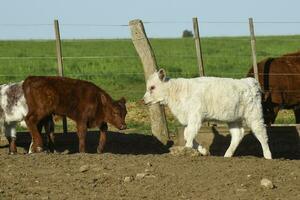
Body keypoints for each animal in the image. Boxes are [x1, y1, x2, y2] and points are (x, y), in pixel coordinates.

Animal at [144, 69, 274, 159]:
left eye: (152, 87)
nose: (143, 100)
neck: (177, 91)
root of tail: (249, 81)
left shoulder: (195, 116)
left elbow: (189, 133)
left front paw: (187, 149)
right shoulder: (189, 119)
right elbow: (186, 133)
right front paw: (203, 150)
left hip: (254, 115)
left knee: (261, 134)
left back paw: (268, 156)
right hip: (233, 118)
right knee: (238, 134)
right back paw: (227, 155)